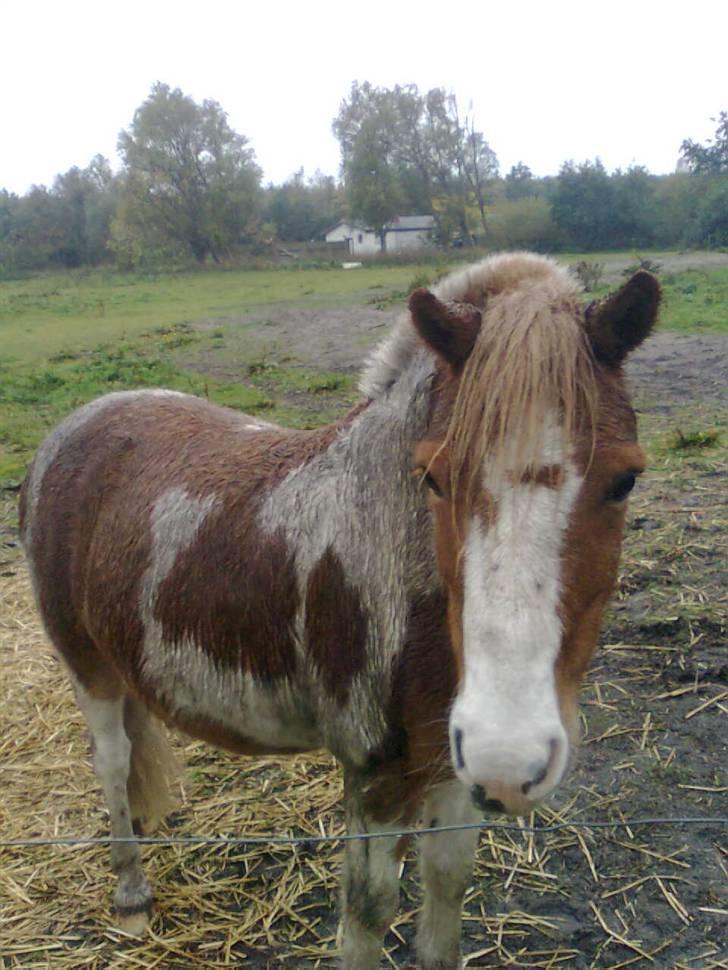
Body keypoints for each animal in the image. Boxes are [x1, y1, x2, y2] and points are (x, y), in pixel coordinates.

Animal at [18, 253, 660, 964]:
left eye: (625, 479)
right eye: (433, 478)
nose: (508, 753)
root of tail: (74, 426)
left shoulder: (452, 768)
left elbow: (447, 883)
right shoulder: (374, 775)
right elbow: (369, 912)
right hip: (87, 667)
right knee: (111, 761)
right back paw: (131, 893)